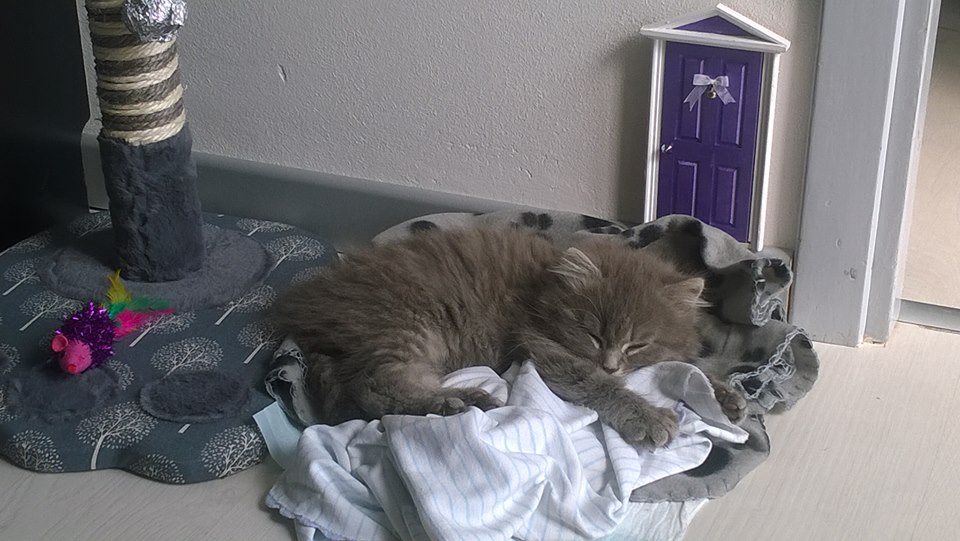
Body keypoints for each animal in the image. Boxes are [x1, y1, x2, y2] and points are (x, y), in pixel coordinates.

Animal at [273, 225, 746, 447]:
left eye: (638, 344)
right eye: (592, 335)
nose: (612, 363)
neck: (543, 288)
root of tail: (311, 306)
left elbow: (689, 364)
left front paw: (725, 394)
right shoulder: (541, 345)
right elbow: (596, 383)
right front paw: (646, 416)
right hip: (407, 327)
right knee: (376, 390)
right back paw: (459, 401)